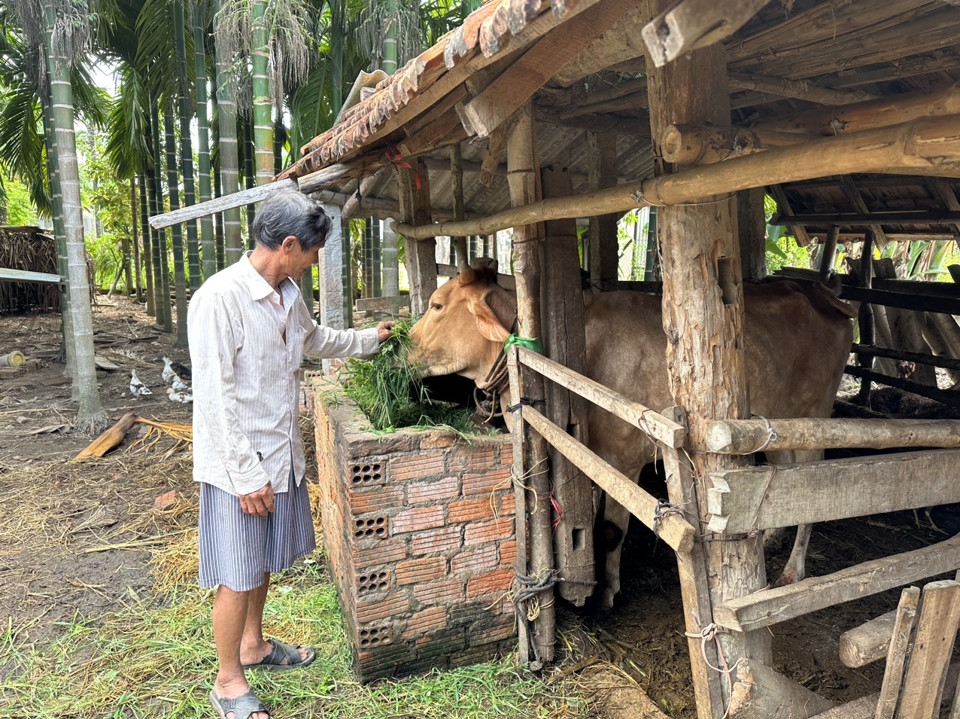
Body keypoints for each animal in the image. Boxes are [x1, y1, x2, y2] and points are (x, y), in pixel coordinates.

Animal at [408, 258, 860, 608]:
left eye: (436, 304)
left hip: (814, 414)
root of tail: (825, 296)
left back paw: (792, 572)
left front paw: (608, 594)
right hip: (777, 425)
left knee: (814, 489)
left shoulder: (622, 458)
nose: (400, 346)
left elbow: (611, 530)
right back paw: (767, 540)